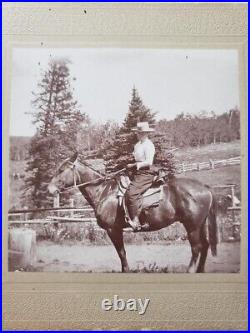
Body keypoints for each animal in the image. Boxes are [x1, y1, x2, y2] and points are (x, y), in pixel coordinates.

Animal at [47, 152, 217, 272]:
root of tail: (205, 187)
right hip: (201, 224)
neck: (103, 191)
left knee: (196, 248)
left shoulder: (113, 230)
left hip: (192, 226)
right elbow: (122, 253)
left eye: (61, 170)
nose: (50, 189)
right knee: (205, 245)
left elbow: (121, 253)